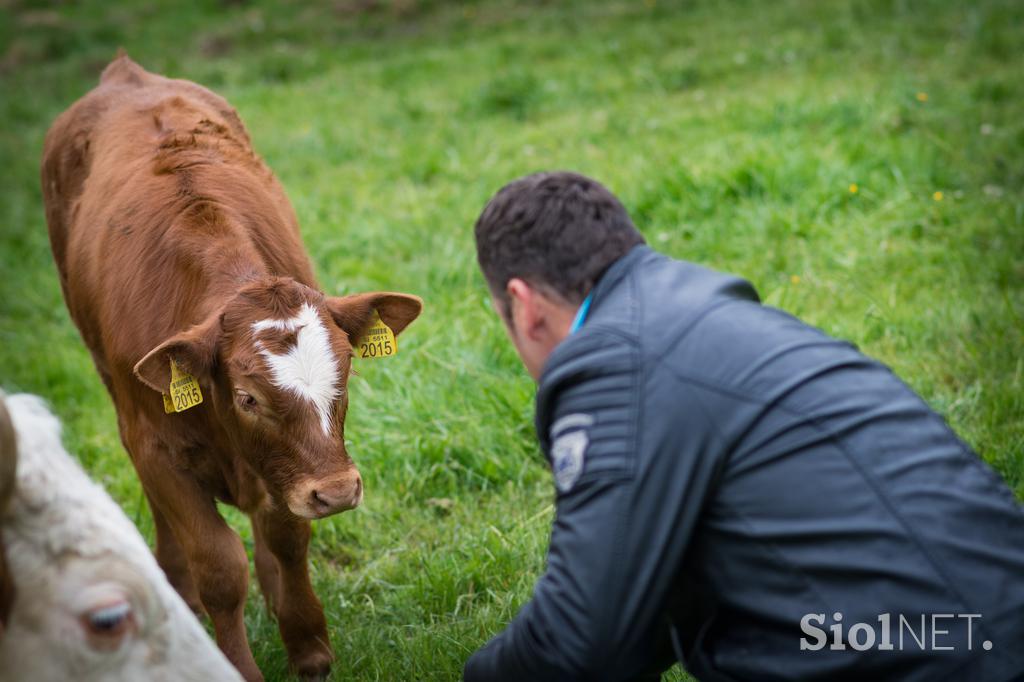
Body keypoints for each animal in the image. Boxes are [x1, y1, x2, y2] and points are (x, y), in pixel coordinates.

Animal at [40, 54, 419, 679]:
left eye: (347, 376)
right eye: (247, 397)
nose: (338, 492)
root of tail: (125, 73)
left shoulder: (287, 474)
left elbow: (288, 539)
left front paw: (307, 643)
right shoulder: (156, 448)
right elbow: (219, 566)